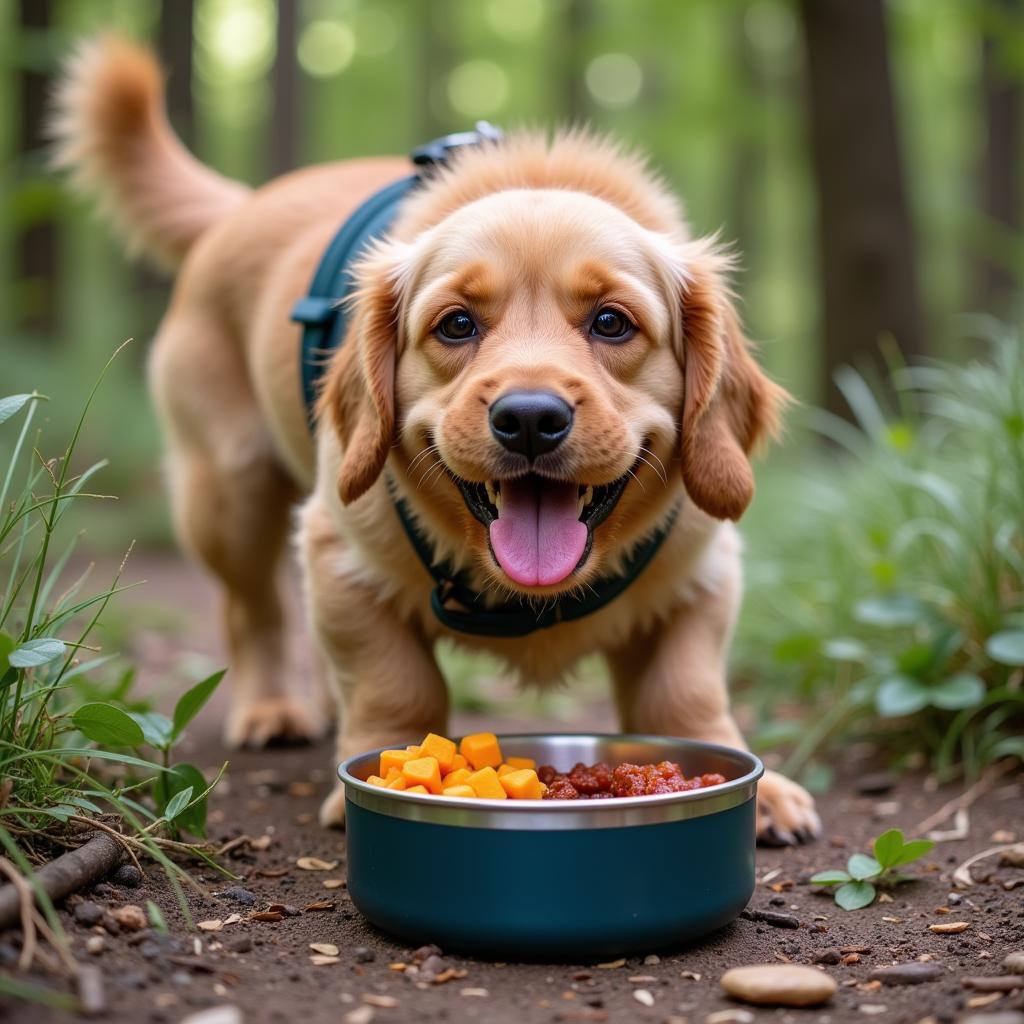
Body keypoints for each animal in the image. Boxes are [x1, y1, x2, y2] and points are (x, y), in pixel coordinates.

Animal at [51, 36, 823, 843]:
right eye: (456, 324)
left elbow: (687, 695)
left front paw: (760, 790)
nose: (530, 418)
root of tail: (243, 204)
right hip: (229, 494)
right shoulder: (341, 554)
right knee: (252, 608)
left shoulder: (704, 572)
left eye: (612, 322)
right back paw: (273, 707)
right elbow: (398, 687)